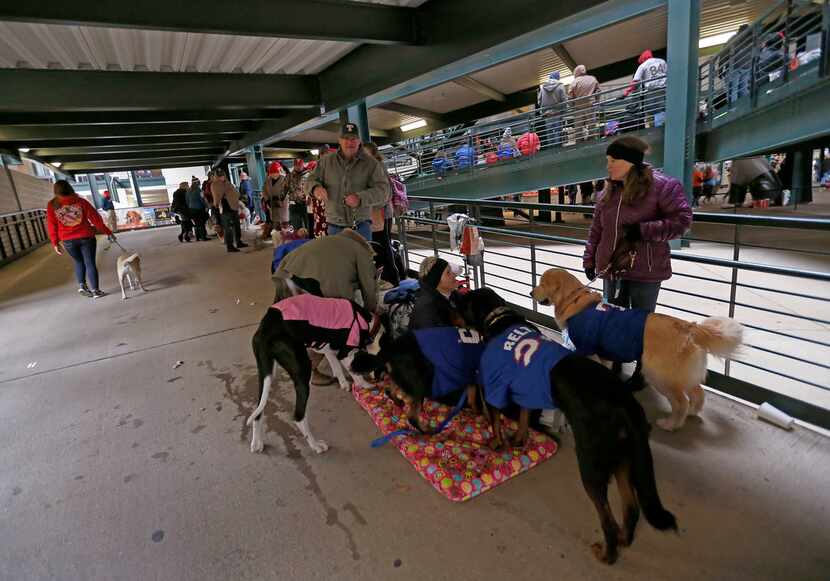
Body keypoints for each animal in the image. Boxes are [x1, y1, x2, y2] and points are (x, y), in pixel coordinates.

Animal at [247, 294, 376, 454]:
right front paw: (365, 384)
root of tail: (265, 329)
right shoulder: (345, 352)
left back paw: (257, 442)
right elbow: (352, 370)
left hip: (266, 374)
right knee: (299, 417)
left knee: (259, 409)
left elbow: (336, 366)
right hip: (303, 372)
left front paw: (344, 383)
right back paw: (315, 445)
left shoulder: (327, 348)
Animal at [456, 288, 676, 564]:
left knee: (607, 519)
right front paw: (519, 439)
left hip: (591, 464)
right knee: (631, 507)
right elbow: (525, 416)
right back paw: (624, 540)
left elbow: (495, 420)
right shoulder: (526, 389)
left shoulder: (494, 387)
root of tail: (625, 407)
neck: (497, 317)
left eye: (464, 301)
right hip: (623, 460)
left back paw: (607, 554)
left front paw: (496, 443)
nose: (452, 294)